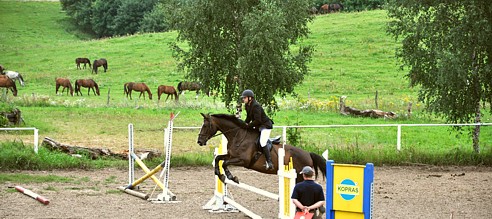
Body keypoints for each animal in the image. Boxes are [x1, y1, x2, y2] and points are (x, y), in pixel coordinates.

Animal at [196, 113, 326, 183]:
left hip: (300, 176)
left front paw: (231, 177)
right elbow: (218, 158)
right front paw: (220, 174)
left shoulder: (243, 160)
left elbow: (225, 163)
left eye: (206, 125)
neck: (238, 136)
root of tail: (308, 154)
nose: (199, 141)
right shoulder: (231, 155)